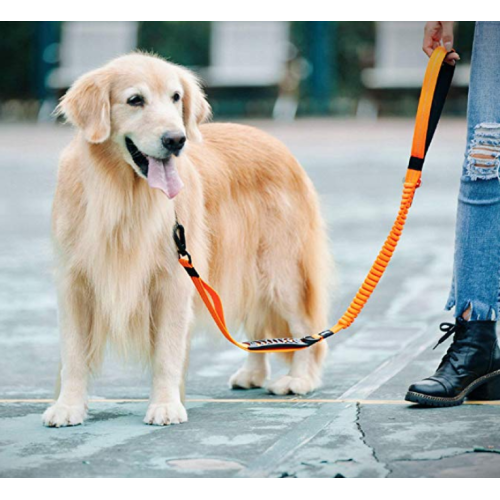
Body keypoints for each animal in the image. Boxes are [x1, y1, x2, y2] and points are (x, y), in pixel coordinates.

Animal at [43, 53, 332, 430]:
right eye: (135, 100)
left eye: (176, 97)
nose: (176, 140)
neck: (123, 194)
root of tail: (276, 143)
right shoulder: (74, 283)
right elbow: (73, 353)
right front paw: (68, 406)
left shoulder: (173, 282)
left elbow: (167, 352)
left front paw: (166, 405)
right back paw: (252, 374)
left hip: (280, 272)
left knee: (307, 330)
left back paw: (299, 379)